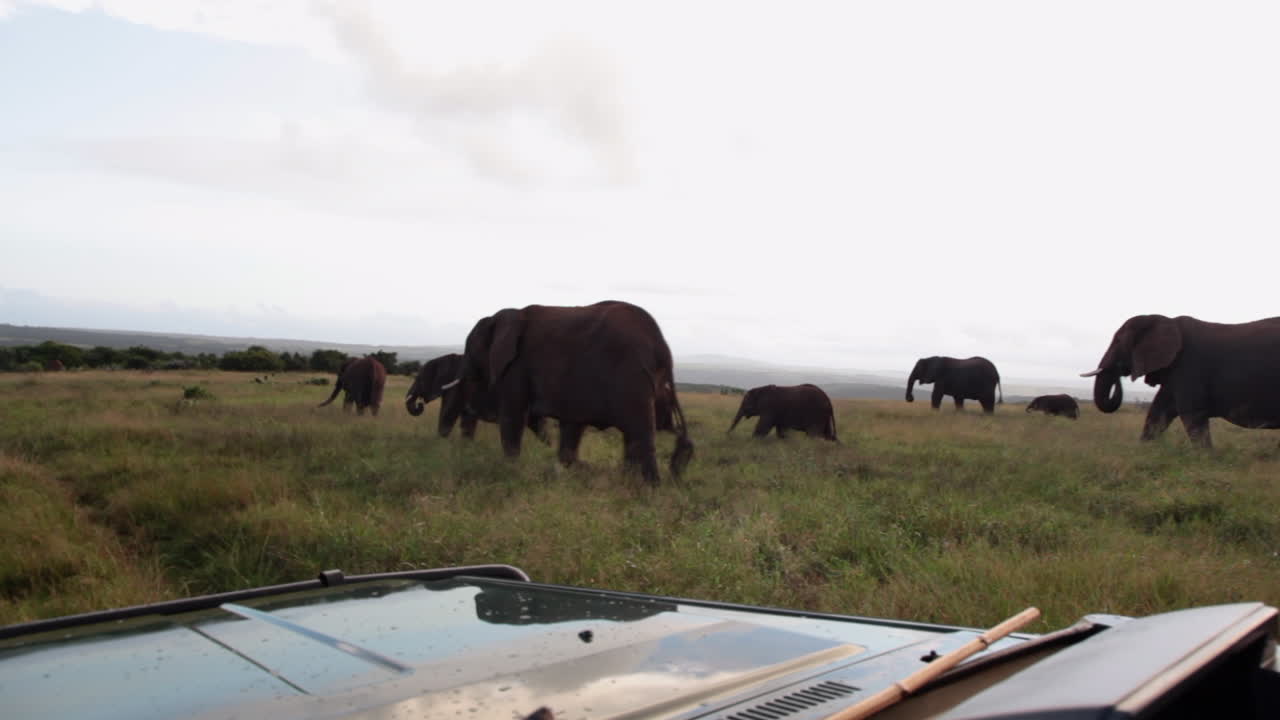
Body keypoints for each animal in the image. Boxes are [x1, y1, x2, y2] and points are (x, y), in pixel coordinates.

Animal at [406, 353, 548, 442]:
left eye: (420, 380)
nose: (419, 404)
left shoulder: (457, 387)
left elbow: (448, 415)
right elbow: (467, 421)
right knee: (539, 427)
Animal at [454, 300, 694, 484]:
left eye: (471, 349)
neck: (505, 316)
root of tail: (662, 346)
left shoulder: (516, 367)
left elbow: (512, 417)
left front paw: (510, 471)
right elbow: (571, 425)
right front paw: (576, 470)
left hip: (631, 375)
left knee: (640, 434)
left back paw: (648, 490)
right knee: (643, 434)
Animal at [1081, 314, 1280, 447]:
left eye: (1118, 341)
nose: (1119, 372)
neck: (1168, 321)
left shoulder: (1190, 365)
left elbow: (1192, 413)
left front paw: (1206, 460)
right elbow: (1159, 411)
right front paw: (1143, 450)